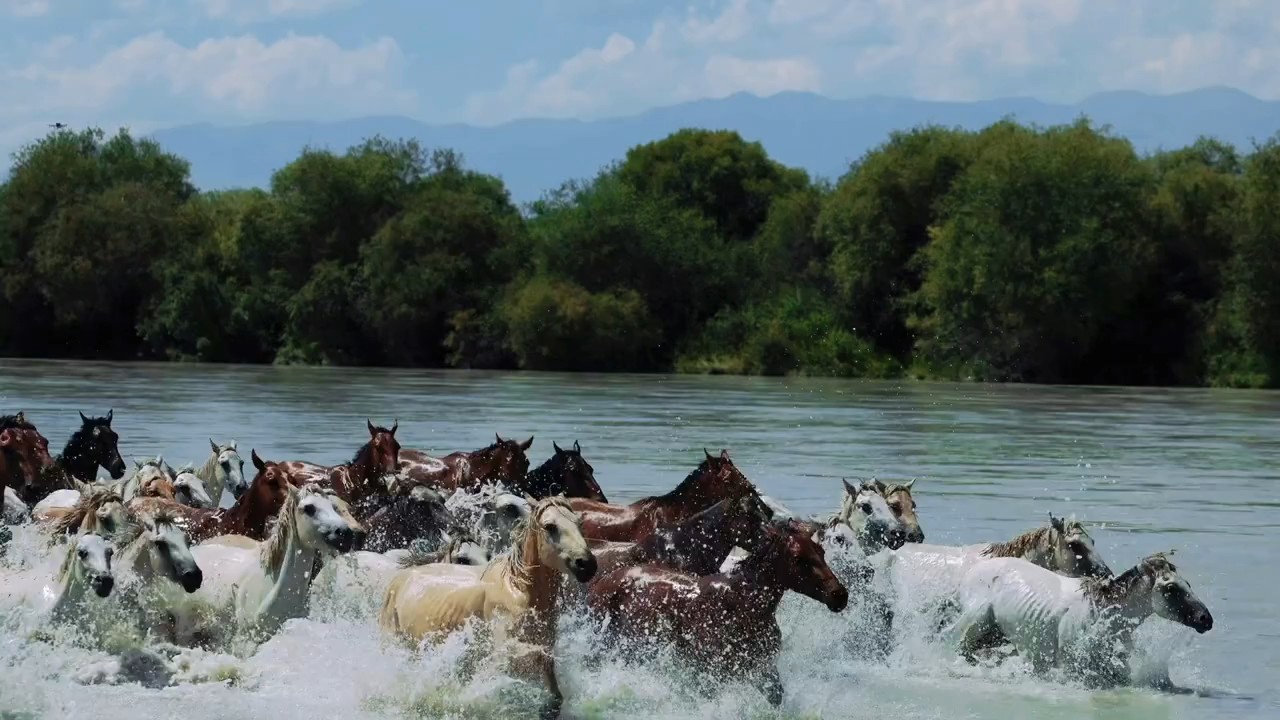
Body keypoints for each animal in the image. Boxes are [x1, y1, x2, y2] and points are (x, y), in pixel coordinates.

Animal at [379, 496, 597, 719]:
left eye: (579, 523)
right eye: (550, 526)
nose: (587, 565)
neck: (518, 590)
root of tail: (400, 578)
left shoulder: (545, 656)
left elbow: (554, 698)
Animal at [586, 522, 849, 707]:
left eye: (821, 552)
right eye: (799, 559)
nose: (839, 595)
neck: (743, 604)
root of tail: (602, 582)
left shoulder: (762, 669)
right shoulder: (714, 670)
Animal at [948, 551, 1213, 688]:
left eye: (1188, 584)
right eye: (1170, 588)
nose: (1206, 620)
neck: (1103, 612)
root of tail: (971, 571)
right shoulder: (1072, 668)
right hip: (975, 624)